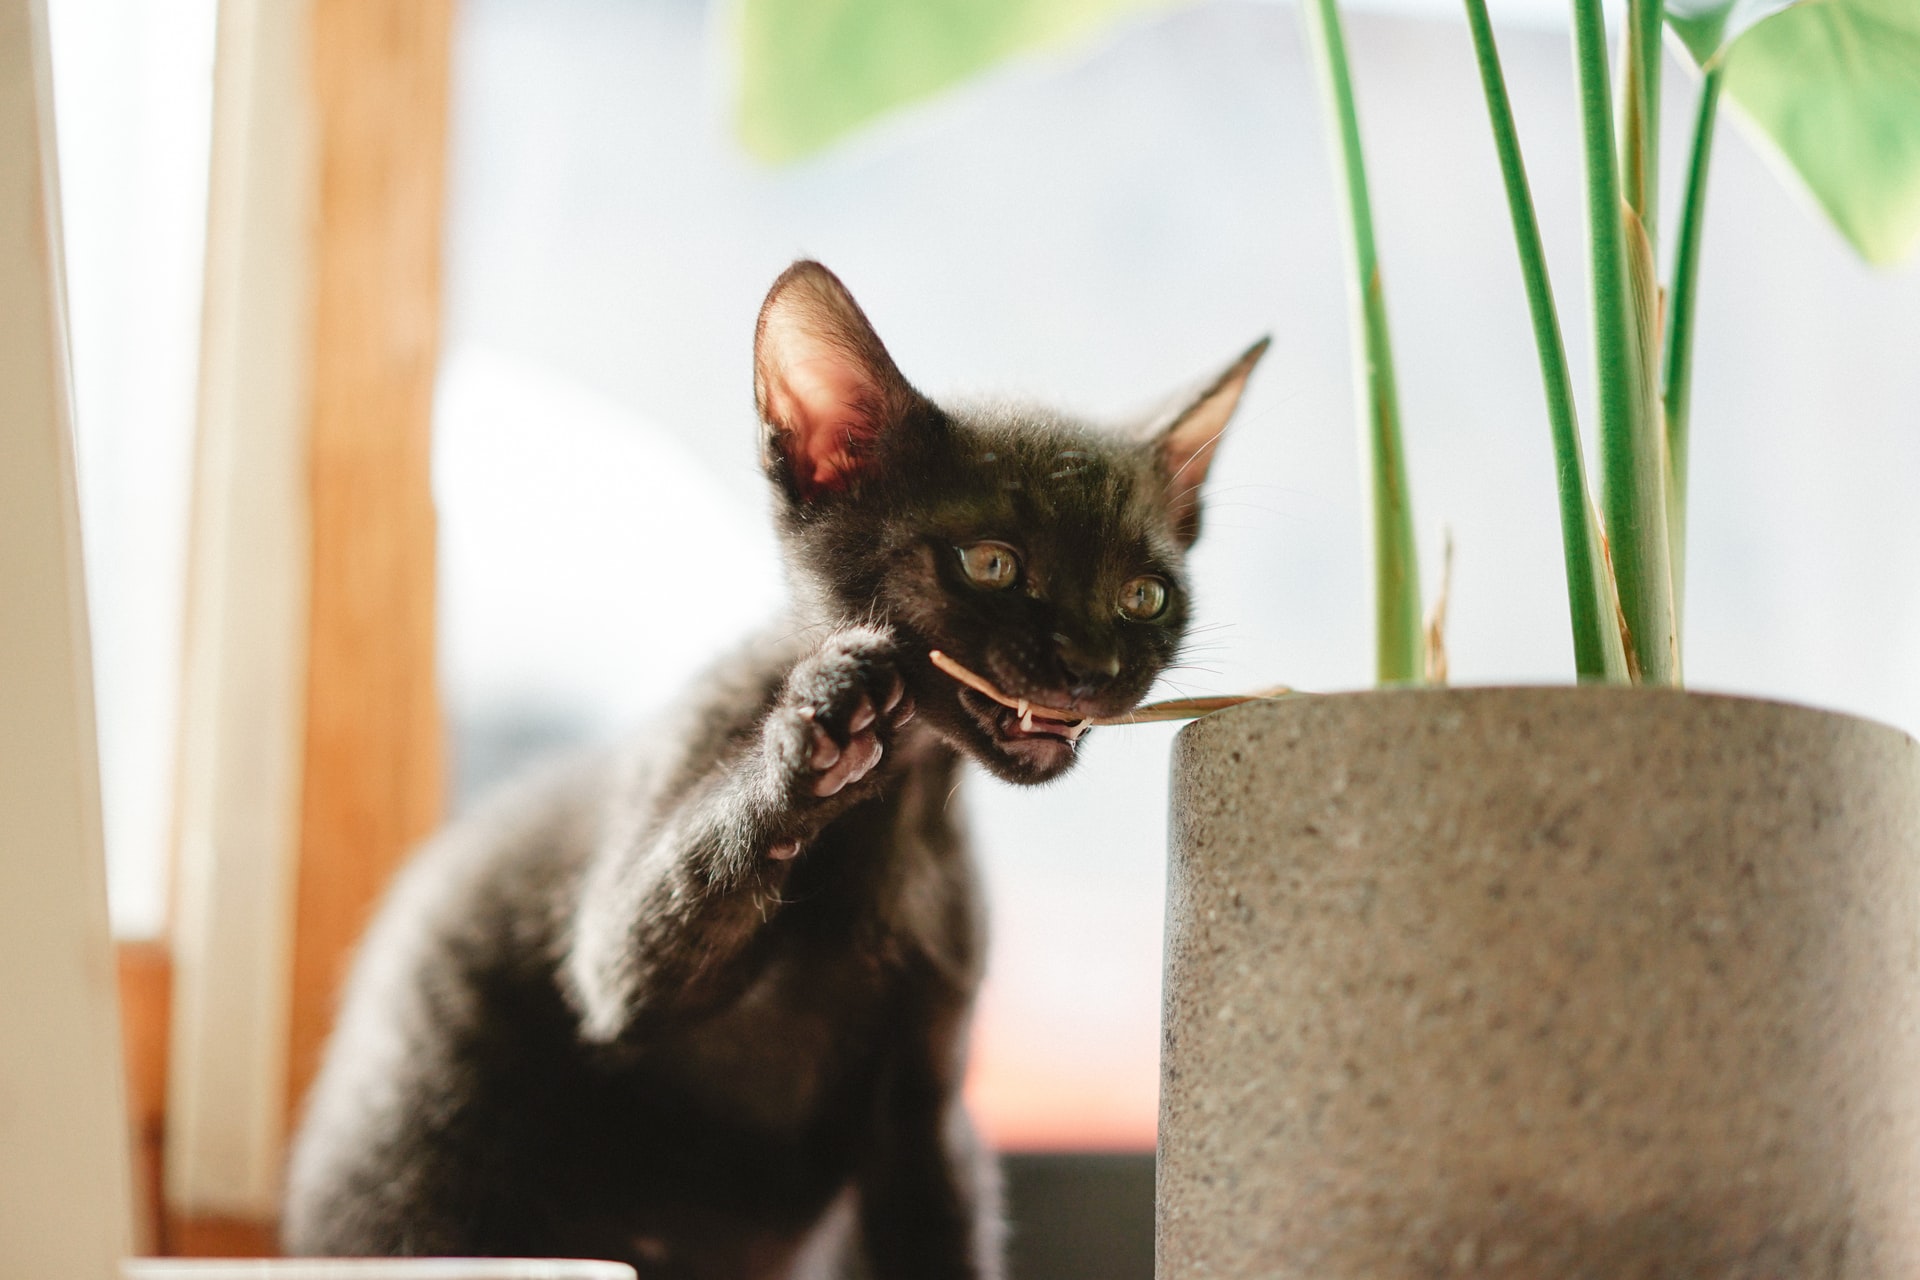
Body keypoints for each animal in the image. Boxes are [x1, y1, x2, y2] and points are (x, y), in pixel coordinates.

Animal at [280, 264, 1259, 1274]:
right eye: (989, 563)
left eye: (1144, 595)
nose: (1093, 667)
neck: (893, 816)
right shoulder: (618, 959)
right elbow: (674, 891)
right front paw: (823, 724)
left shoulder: (922, 1114)